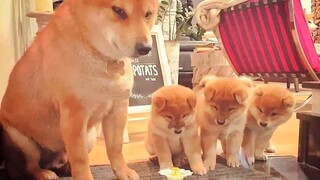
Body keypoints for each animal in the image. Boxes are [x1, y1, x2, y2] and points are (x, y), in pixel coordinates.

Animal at [0, 0, 159, 179]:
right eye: (118, 10)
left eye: (148, 14)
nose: (146, 48)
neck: (101, 58)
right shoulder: (74, 115)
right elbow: (80, 158)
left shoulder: (118, 109)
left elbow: (115, 148)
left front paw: (122, 172)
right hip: (22, 140)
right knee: (29, 166)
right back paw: (44, 173)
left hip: (89, 137)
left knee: (63, 160)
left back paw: (65, 167)